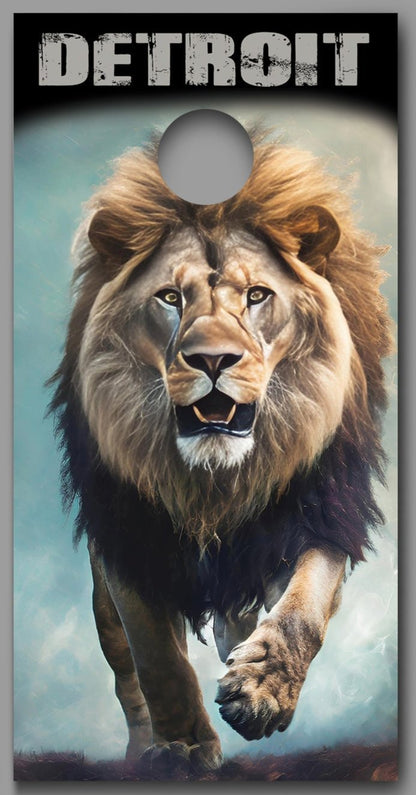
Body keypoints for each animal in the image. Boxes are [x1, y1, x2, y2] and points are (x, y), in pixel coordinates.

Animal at [49, 131, 392, 776]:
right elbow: (158, 659)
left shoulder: (321, 513)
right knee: (128, 678)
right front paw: (182, 747)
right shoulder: (130, 538)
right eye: (169, 297)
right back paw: (142, 751)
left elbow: (303, 608)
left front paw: (261, 692)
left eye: (257, 295)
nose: (212, 360)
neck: (215, 482)